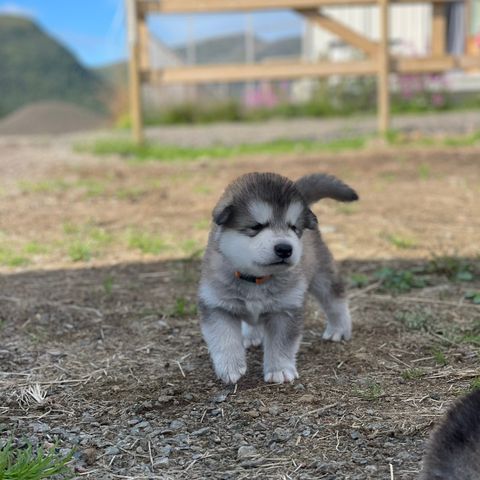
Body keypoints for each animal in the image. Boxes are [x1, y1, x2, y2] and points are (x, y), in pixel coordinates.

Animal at [197, 171, 358, 384]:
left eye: (293, 227)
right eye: (256, 226)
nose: (285, 248)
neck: (256, 279)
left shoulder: (285, 309)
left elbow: (282, 343)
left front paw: (279, 370)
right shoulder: (217, 305)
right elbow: (224, 338)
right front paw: (230, 367)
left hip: (321, 274)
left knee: (334, 298)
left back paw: (339, 328)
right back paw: (251, 336)